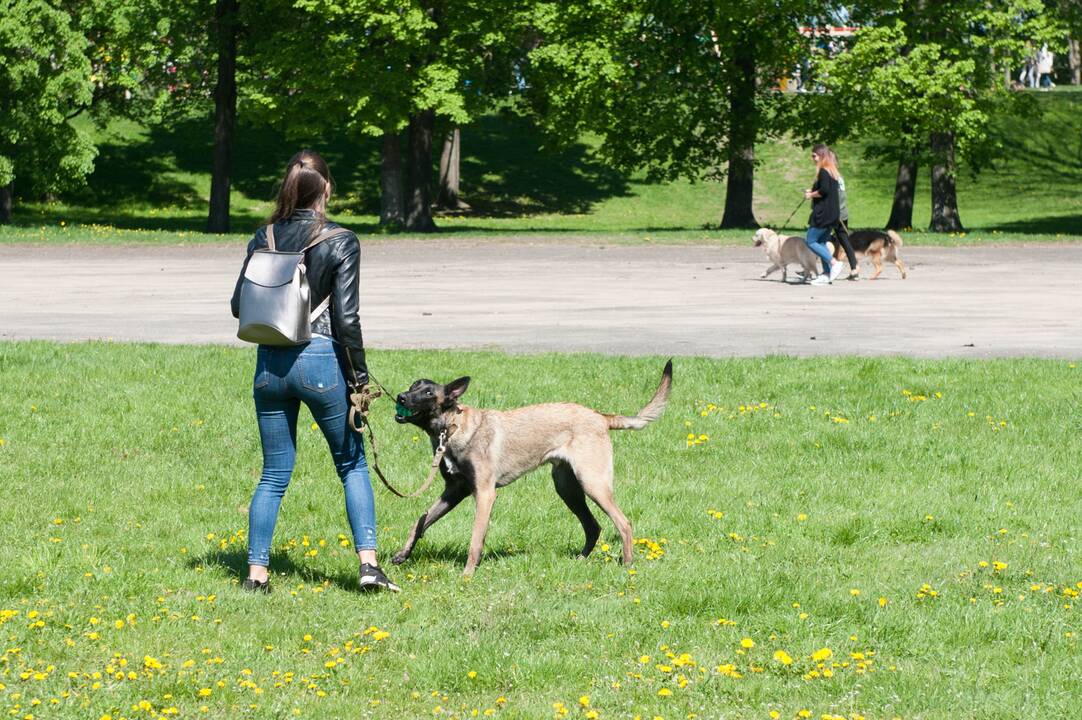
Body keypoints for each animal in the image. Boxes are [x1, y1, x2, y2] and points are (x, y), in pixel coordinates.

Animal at [393, 361, 670, 576]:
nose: (400, 397)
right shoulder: (453, 492)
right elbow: (420, 521)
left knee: (623, 523)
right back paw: (581, 560)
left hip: (593, 483)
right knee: (593, 526)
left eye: (429, 393)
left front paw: (468, 575)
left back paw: (628, 565)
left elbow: (475, 539)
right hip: (567, 489)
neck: (452, 427)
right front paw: (403, 554)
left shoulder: (485, 494)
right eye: (413, 385)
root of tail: (600, 416)